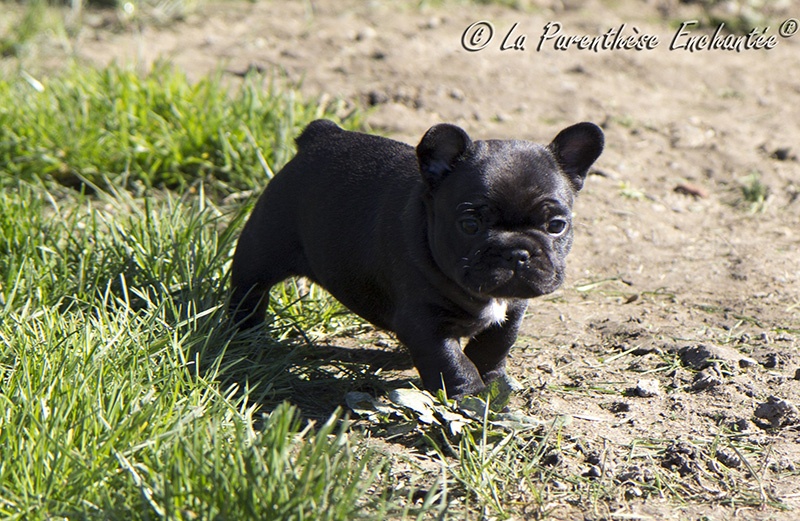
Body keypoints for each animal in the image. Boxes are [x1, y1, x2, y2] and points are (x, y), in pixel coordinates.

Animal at [231, 119, 603, 398]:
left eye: (556, 225)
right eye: (470, 225)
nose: (516, 252)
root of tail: (321, 133)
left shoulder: (513, 308)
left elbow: (496, 343)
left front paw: (493, 381)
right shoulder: (425, 321)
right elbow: (452, 361)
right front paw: (471, 396)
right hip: (264, 244)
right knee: (248, 286)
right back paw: (245, 331)